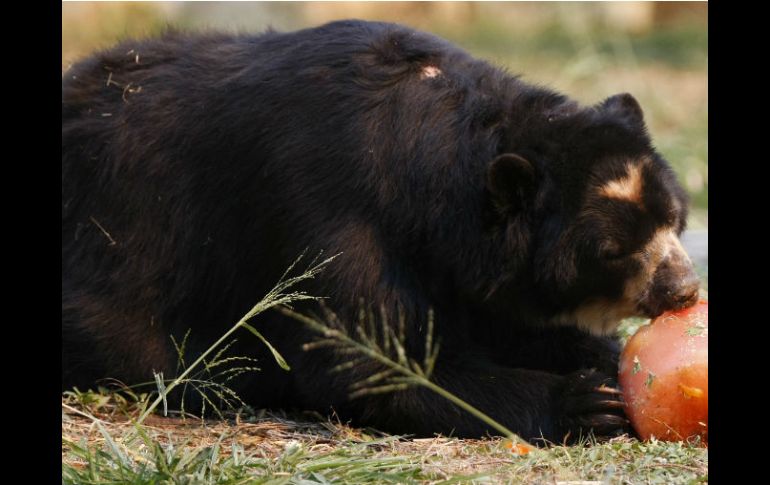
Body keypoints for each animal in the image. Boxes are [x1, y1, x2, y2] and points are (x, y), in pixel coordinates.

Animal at [63, 18, 700, 442]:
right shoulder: (331, 209)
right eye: (613, 250)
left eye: (674, 219)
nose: (684, 289)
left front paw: (595, 356)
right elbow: (361, 357)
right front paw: (585, 403)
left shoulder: (457, 260)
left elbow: (491, 315)